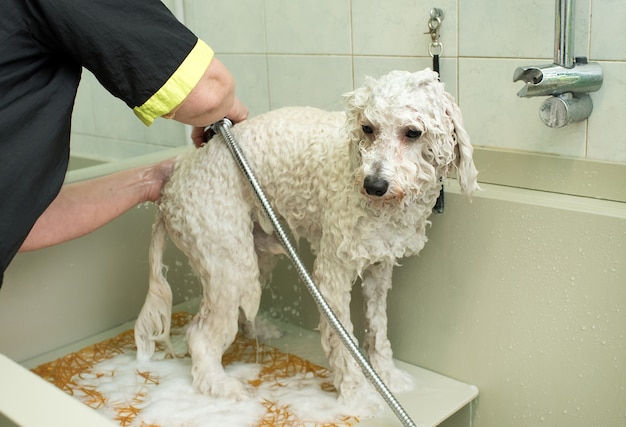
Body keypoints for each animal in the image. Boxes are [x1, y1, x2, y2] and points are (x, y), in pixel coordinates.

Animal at [134, 68, 476, 406]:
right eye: (367, 128)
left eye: (413, 132)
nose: (373, 185)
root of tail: (172, 181)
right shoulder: (331, 276)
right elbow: (343, 341)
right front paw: (357, 397)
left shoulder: (379, 265)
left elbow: (378, 328)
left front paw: (389, 378)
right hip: (226, 258)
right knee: (200, 334)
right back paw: (220, 386)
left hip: (257, 252)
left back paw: (260, 331)